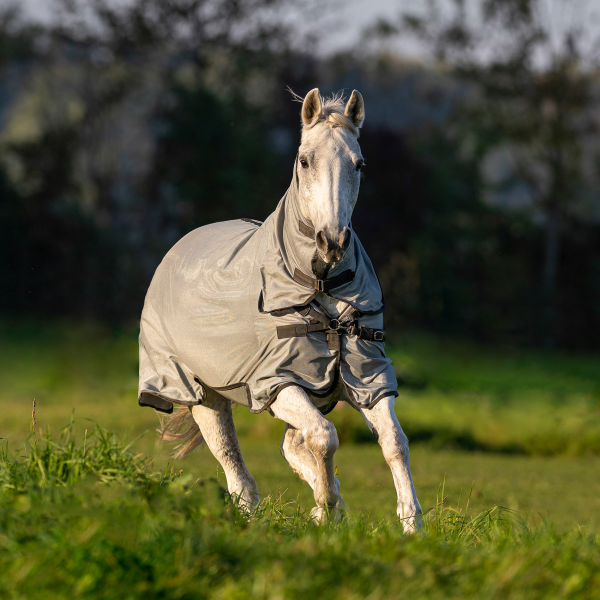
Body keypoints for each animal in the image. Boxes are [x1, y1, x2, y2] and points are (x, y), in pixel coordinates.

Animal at [138, 88, 422, 528]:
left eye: (359, 164)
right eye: (305, 160)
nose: (332, 242)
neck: (320, 284)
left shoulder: (368, 378)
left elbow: (394, 441)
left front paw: (411, 524)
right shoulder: (277, 381)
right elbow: (324, 436)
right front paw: (327, 511)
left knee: (292, 443)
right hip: (204, 396)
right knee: (237, 470)